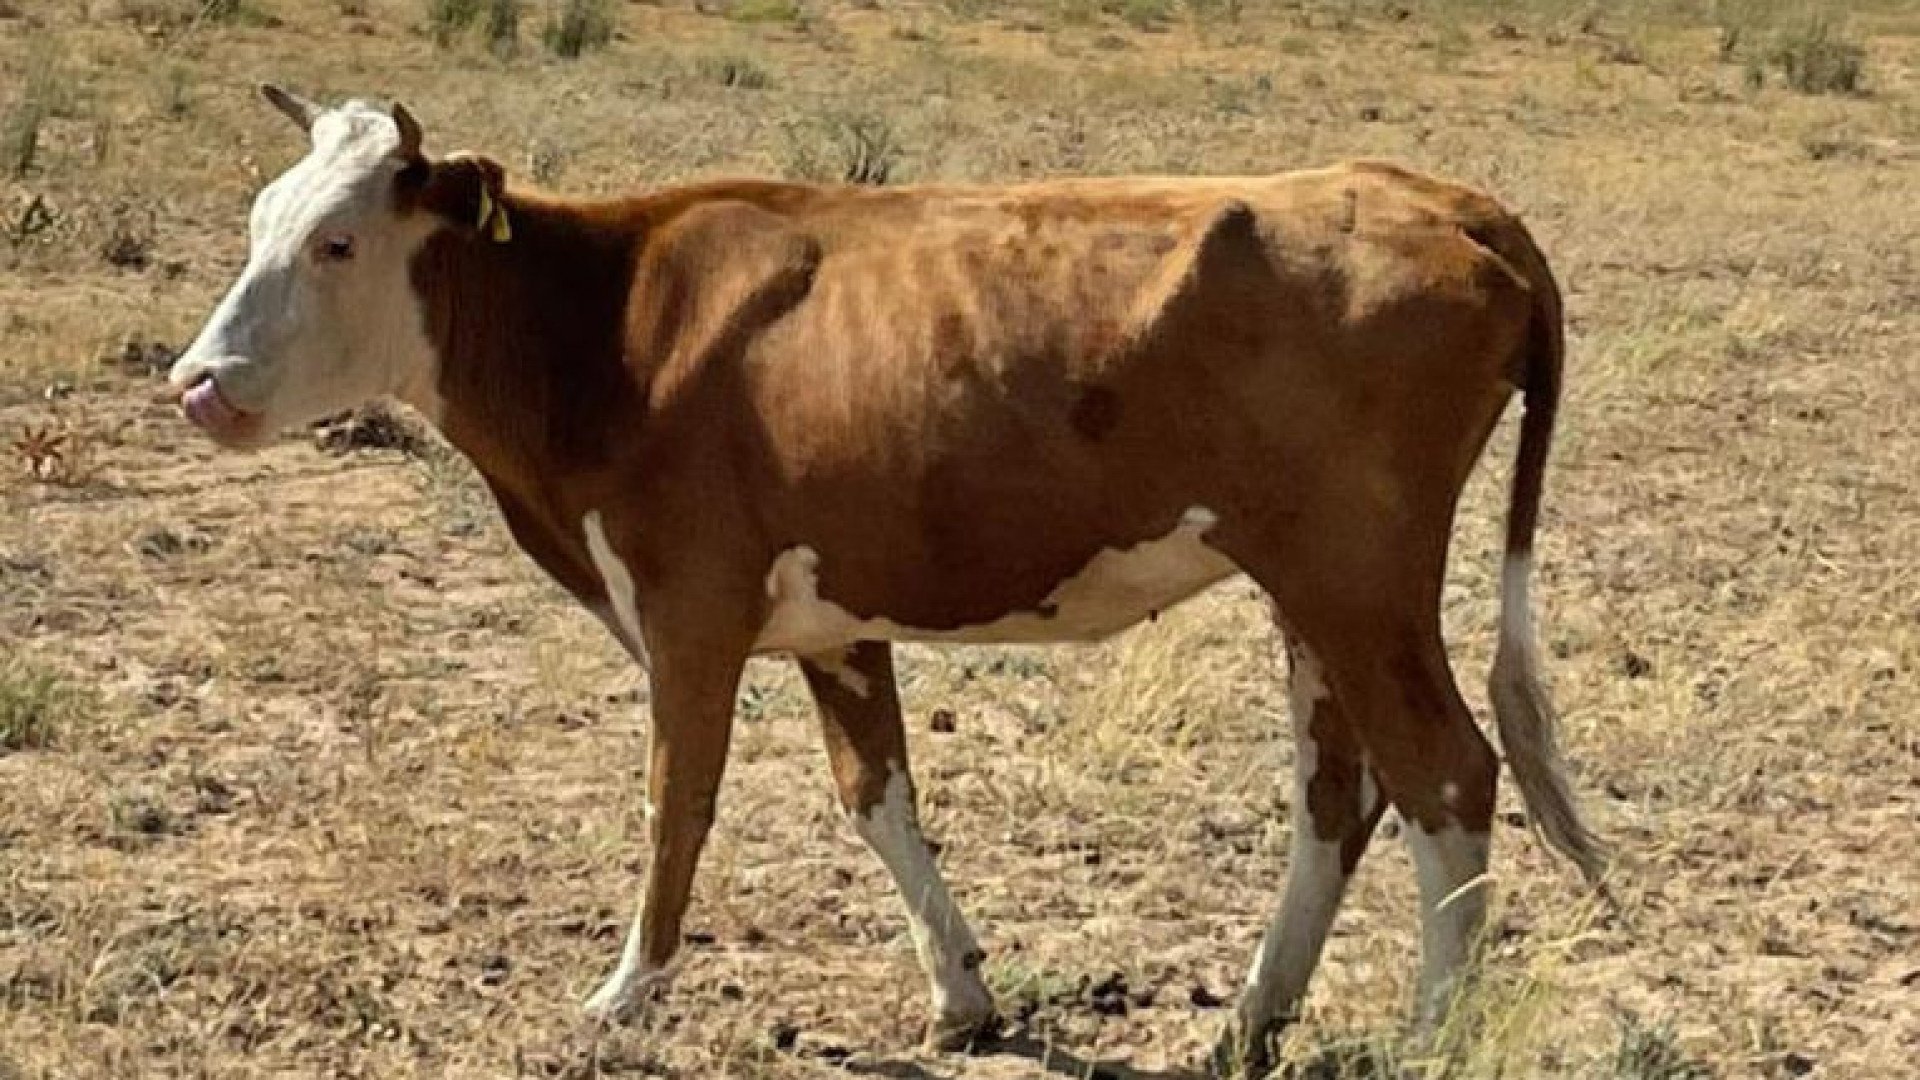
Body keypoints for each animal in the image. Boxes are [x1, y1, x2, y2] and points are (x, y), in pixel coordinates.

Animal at [168, 85, 1605, 1068]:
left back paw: (1430, 1031)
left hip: (1359, 577)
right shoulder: (831, 626)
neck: (613, 332)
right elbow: (877, 794)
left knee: (1445, 778)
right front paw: (961, 992)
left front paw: (626, 994)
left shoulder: (689, 610)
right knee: (1338, 793)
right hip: (1311, 590)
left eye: (338, 242)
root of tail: (1440, 197)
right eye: (258, 223)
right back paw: (1250, 1018)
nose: (196, 384)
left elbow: (676, 804)